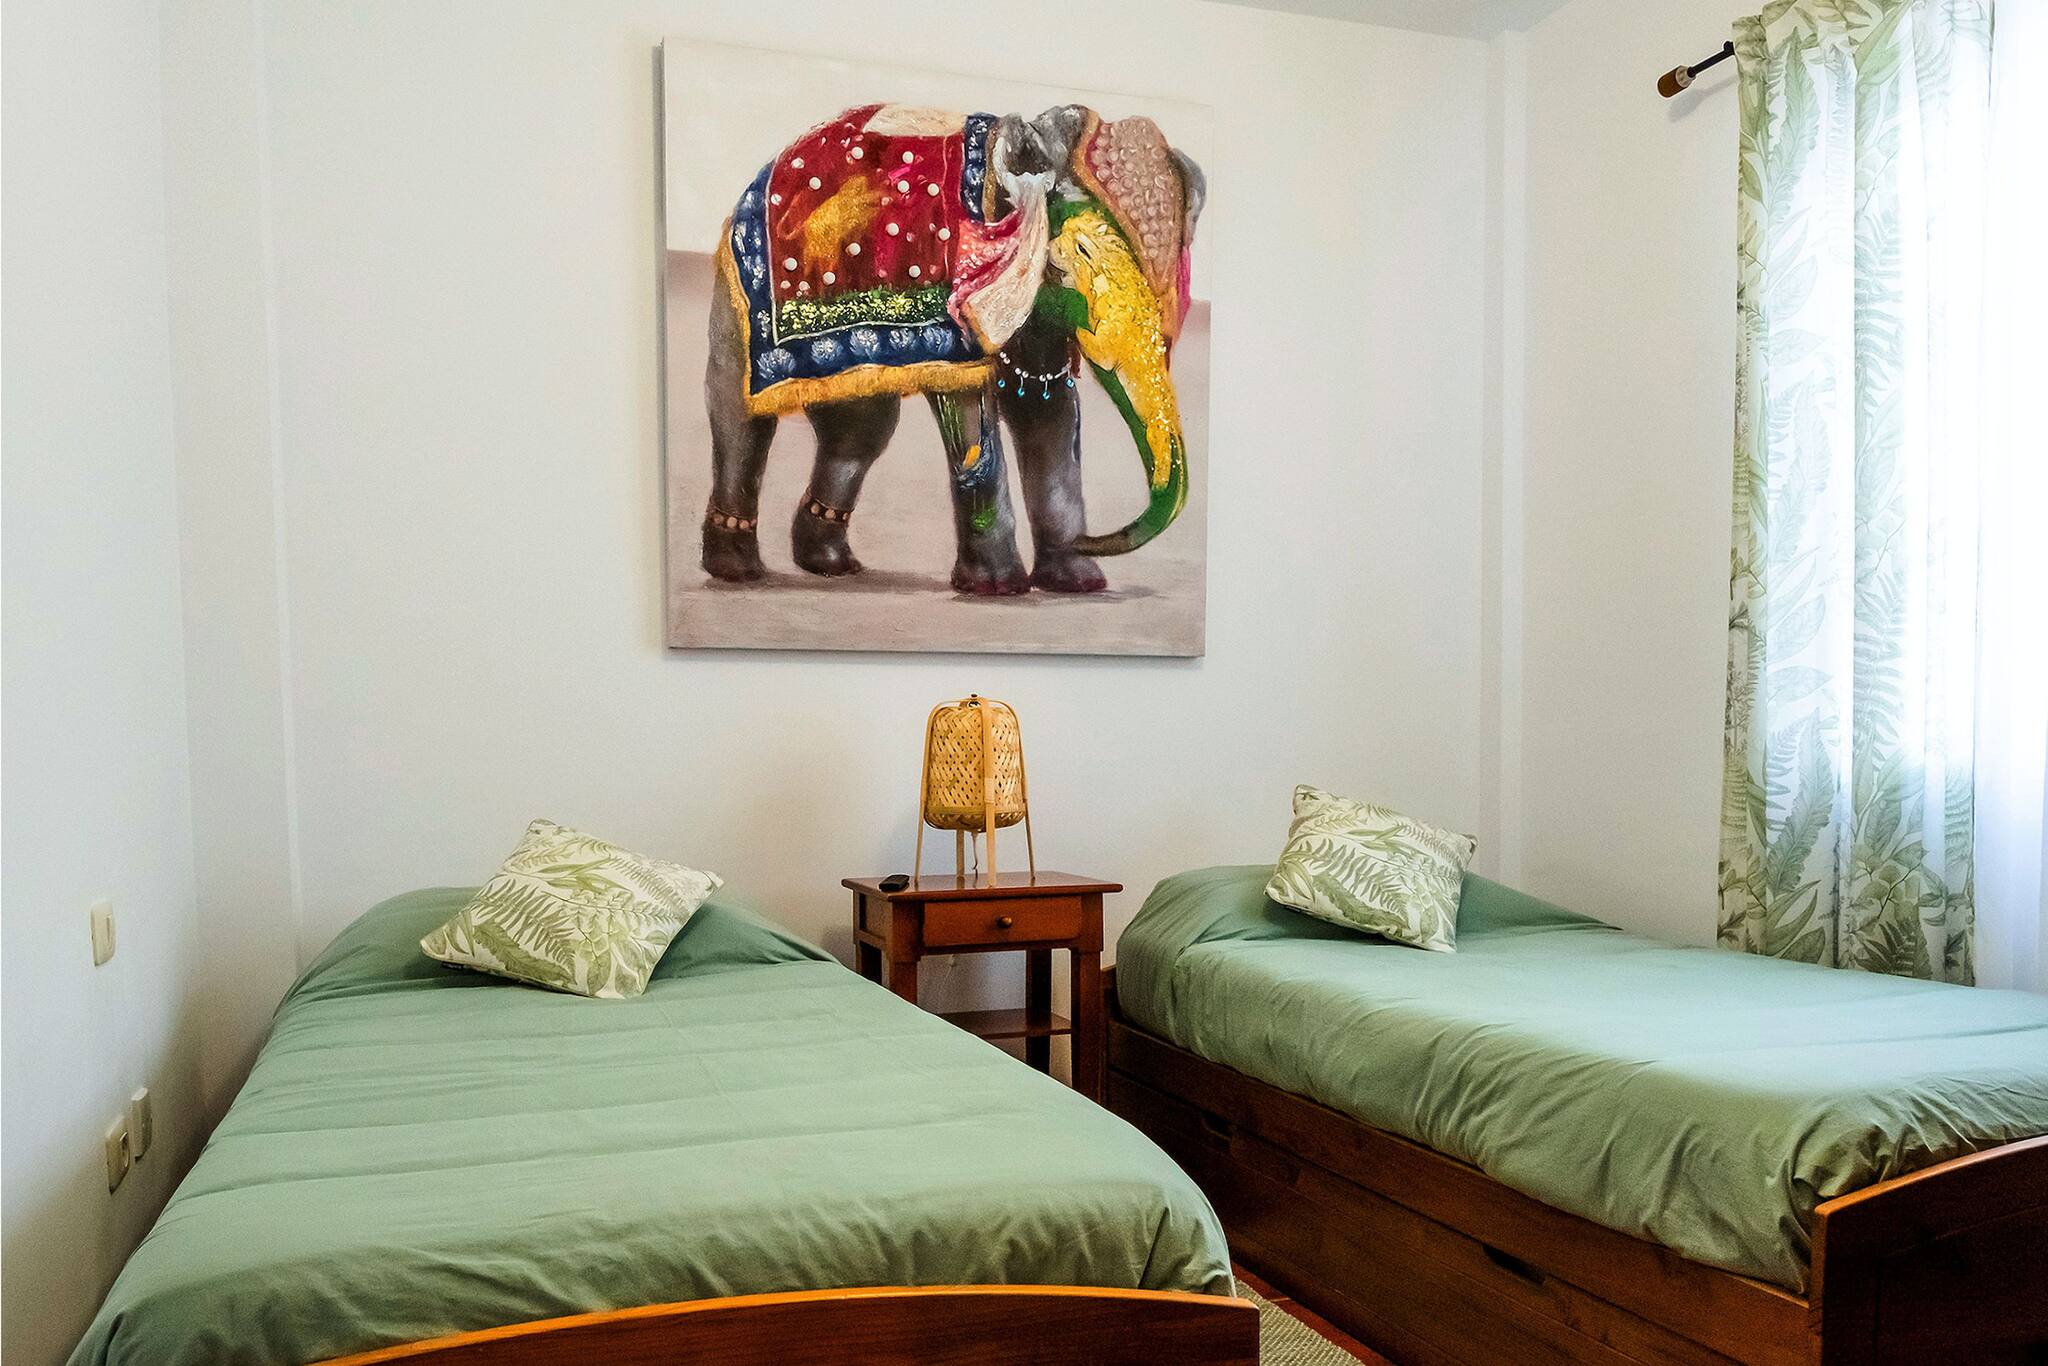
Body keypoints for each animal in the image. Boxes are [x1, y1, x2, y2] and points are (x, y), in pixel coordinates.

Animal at [702, 102, 1205, 595]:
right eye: (1079, 254)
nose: (1089, 539)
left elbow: (1049, 408)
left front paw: (1076, 582)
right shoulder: (959, 289)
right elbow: (967, 404)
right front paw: (999, 588)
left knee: (863, 428)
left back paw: (830, 564)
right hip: (738, 286)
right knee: (742, 415)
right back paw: (737, 572)